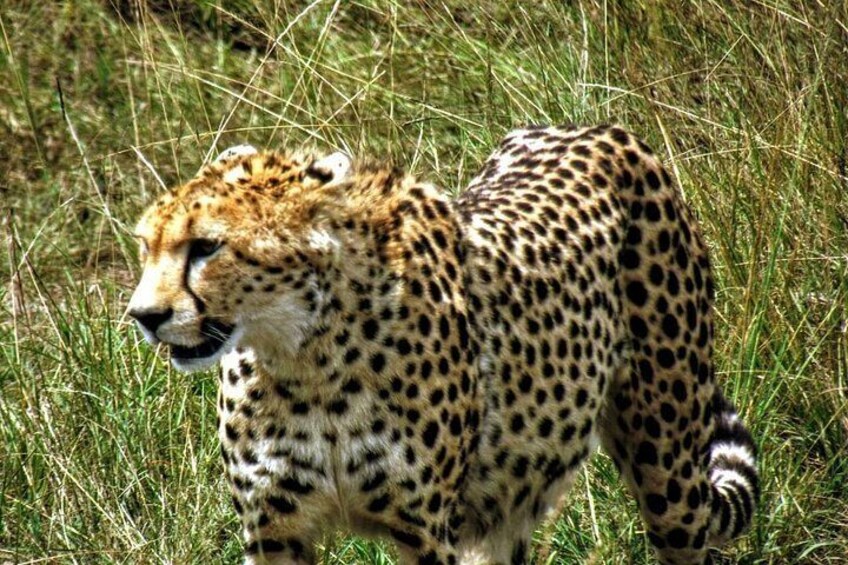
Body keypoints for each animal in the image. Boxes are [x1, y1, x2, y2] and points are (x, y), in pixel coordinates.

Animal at [128, 125, 759, 565]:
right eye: (145, 246)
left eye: (207, 247)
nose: (144, 316)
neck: (308, 357)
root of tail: (603, 131)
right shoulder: (275, 531)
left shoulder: (426, 530)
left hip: (668, 472)